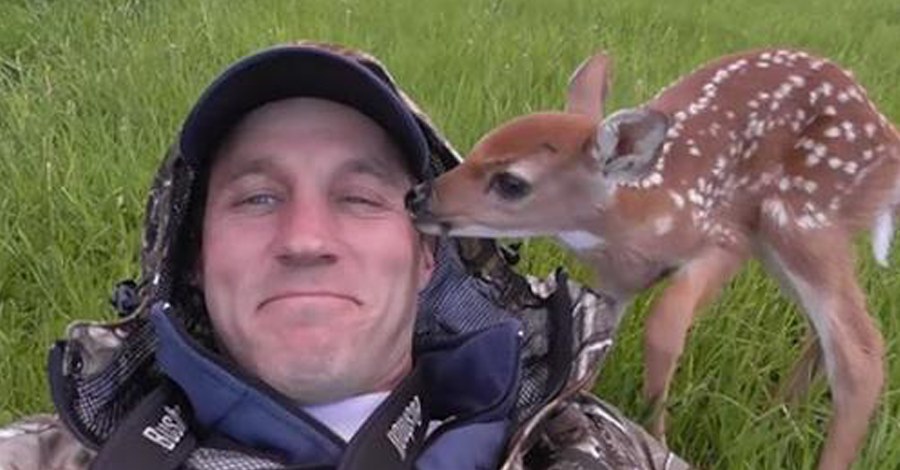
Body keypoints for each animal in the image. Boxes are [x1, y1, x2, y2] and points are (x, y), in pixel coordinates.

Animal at [406, 48, 900, 470]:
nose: (418, 196)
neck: (639, 217)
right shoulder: (616, 282)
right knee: (830, 332)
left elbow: (664, 324)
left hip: (802, 220)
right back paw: (773, 416)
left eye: (511, 183)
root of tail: (887, 138)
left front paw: (656, 436)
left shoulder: (725, 237)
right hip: (786, 242)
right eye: (479, 147)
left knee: (860, 352)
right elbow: (595, 350)